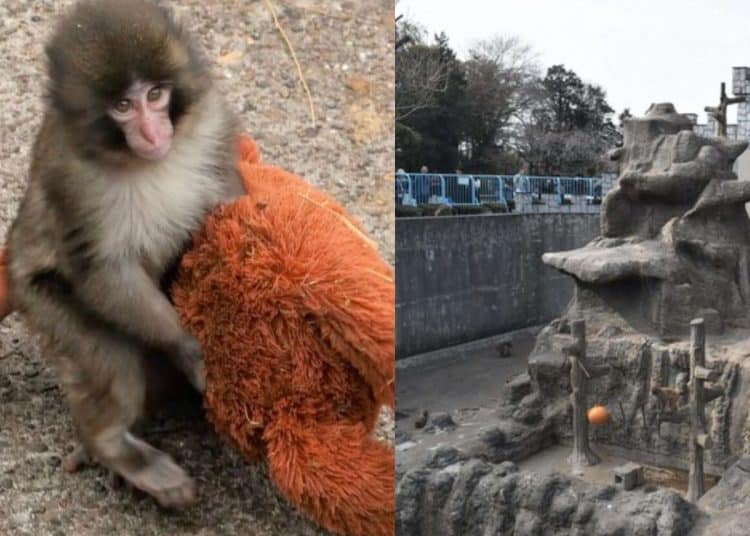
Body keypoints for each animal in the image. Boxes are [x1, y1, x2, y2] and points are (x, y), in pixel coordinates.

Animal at [6, 0, 245, 508]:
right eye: (122, 106)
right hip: (41, 301)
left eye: (155, 94)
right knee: (109, 357)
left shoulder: (211, 122)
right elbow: (102, 271)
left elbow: (228, 200)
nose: (154, 132)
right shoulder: (72, 178)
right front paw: (188, 347)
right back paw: (112, 446)